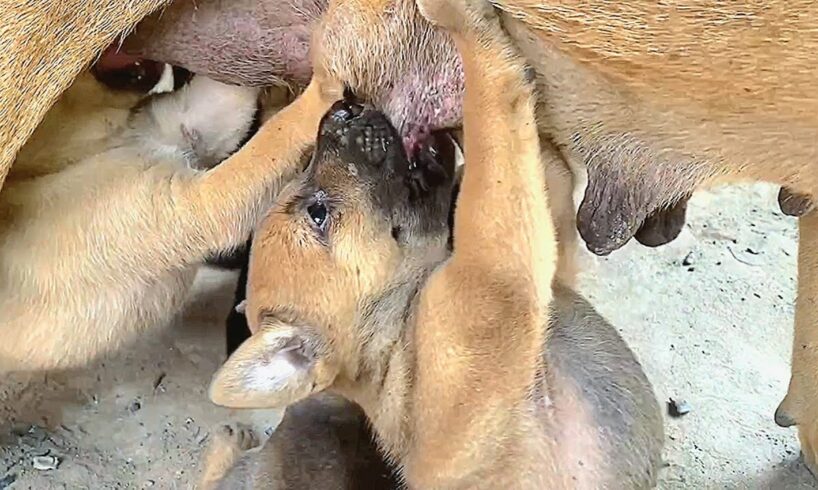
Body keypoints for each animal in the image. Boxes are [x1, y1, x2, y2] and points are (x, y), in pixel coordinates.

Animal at [204, 2, 664, 486]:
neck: (397, 330)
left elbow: (530, 154)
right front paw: (462, 21)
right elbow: (494, 117)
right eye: (317, 213)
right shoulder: (496, 274)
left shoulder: (548, 248)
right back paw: (226, 445)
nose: (342, 108)